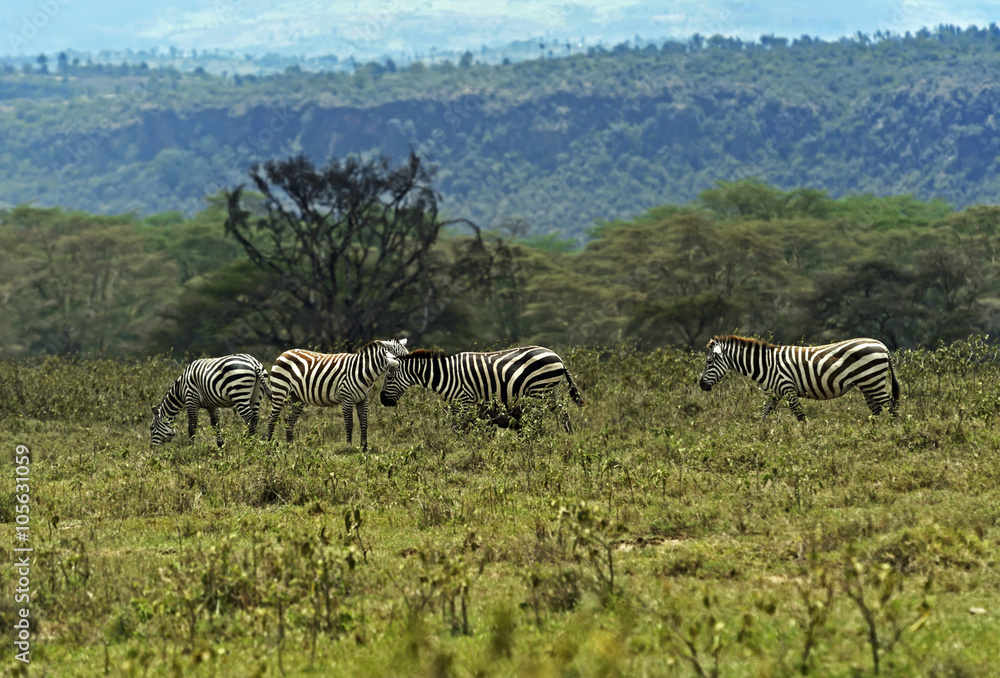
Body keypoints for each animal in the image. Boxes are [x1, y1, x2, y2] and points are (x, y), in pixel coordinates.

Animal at [265, 338, 409, 450]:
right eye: (400, 357)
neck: (363, 371)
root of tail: (284, 353)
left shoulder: (363, 399)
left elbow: (364, 423)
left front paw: (364, 447)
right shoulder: (347, 398)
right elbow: (349, 424)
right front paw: (349, 446)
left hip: (297, 397)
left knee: (289, 420)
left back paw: (290, 446)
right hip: (280, 390)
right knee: (272, 418)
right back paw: (269, 445)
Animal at [379, 345, 586, 432]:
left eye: (389, 377)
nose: (382, 400)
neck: (446, 375)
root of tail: (558, 357)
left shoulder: (464, 401)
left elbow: (459, 428)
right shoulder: (463, 405)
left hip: (538, 391)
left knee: (537, 419)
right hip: (550, 392)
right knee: (563, 413)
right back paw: (568, 437)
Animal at [698, 335, 900, 421]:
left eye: (709, 362)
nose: (701, 385)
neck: (766, 365)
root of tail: (883, 345)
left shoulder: (788, 388)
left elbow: (800, 416)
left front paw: (805, 439)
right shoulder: (774, 394)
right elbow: (764, 415)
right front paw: (761, 440)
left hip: (872, 380)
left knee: (891, 405)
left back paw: (894, 433)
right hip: (867, 384)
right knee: (877, 409)